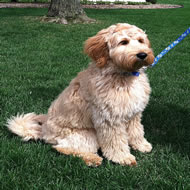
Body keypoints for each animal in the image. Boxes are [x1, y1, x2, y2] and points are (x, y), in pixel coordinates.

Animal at [7, 23, 154, 166]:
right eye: (123, 42)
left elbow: (136, 131)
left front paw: (141, 145)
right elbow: (115, 141)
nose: (142, 54)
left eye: (141, 40)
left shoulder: (133, 114)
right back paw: (92, 159)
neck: (123, 75)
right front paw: (122, 157)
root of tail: (43, 131)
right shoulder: (109, 118)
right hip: (86, 135)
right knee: (63, 148)